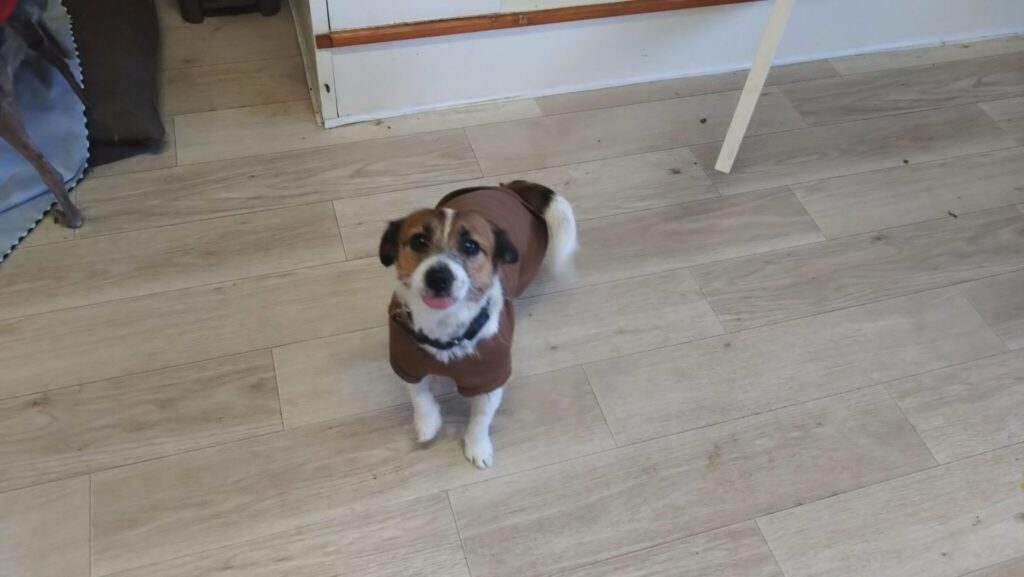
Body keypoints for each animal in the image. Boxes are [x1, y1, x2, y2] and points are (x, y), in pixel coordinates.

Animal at [379, 180, 577, 469]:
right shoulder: (406, 361)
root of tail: (511, 188)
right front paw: (428, 422)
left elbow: (481, 418)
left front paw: (477, 446)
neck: (443, 327)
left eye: (471, 246)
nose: (439, 277)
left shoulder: (490, 379)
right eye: (418, 240)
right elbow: (419, 395)